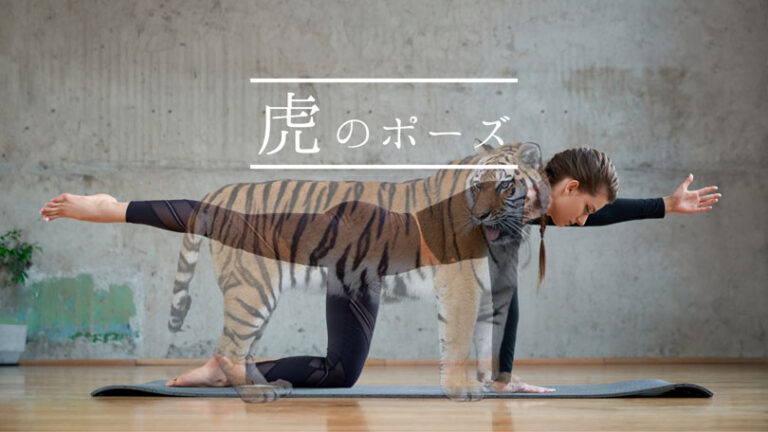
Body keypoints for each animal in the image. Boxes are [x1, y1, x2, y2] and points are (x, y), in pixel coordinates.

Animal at [167, 141, 550, 401]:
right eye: (476, 187)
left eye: (504, 185)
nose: (481, 215)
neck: (507, 237)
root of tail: (223, 191)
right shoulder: (461, 288)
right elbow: (457, 342)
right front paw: (460, 390)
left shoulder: (493, 293)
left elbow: (490, 342)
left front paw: (498, 385)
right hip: (252, 289)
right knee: (229, 348)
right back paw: (254, 393)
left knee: (241, 349)